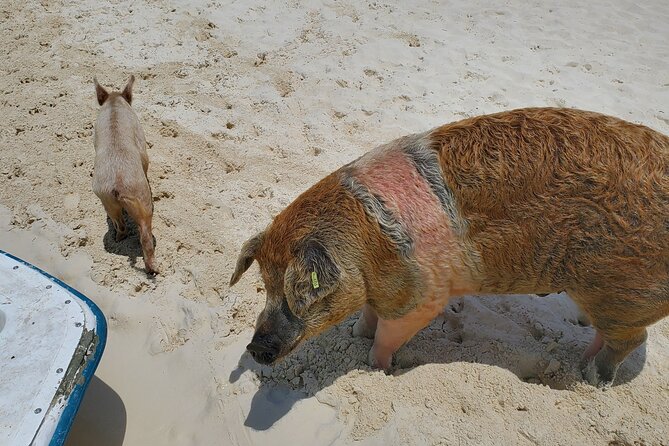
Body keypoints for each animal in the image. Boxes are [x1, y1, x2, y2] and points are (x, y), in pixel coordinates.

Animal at [93, 75, 158, 274]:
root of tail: (118, 184)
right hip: (142, 197)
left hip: (105, 198)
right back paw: (154, 270)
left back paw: (118, 239)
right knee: (145, 235)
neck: (114, 101)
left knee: (120, 224)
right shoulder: (142, 142)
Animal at [229, 108, 669, 388]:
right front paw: (356, 332)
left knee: (632, 340)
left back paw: (592, 381)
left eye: (300, 293)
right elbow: (369, 317)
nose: (254, 347)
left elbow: (387, 337)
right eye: (266, 286)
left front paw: (379, 369)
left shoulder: (425, 296)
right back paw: (580, 366)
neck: (370, 252)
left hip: (623, 294)